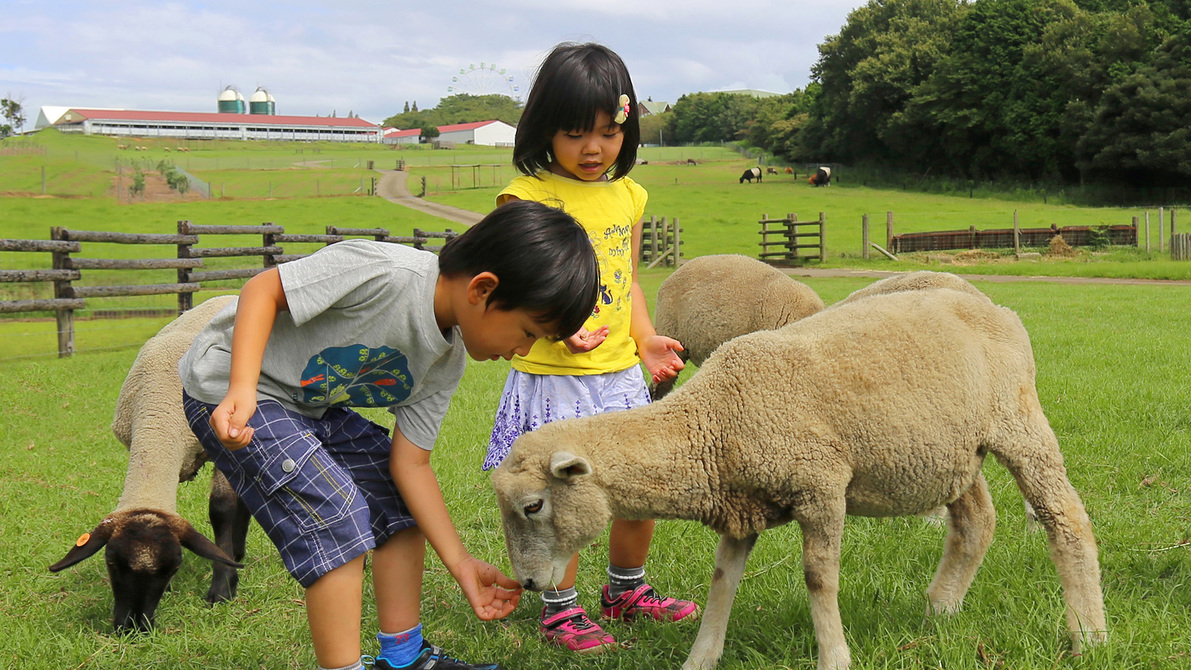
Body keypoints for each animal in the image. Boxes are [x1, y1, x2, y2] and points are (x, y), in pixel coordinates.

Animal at [48, 298, 248, 633]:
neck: (163, 403)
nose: (132, 626)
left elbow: (222, 509)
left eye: (174, 566)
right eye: (111, 562)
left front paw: (222, 587)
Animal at [490, 287, 1105, 670]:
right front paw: (700, 657)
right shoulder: (741, 508)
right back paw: (939, 611)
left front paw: (834, 656)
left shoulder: (821, 487)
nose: (528, 584)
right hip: (950, 449)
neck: (712, 421)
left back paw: (1089, 634)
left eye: (533, 506)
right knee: (977, 522)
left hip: (1017, 420)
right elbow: (722, 583)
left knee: (1066, 518)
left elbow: (818, 579)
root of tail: (996, 308)